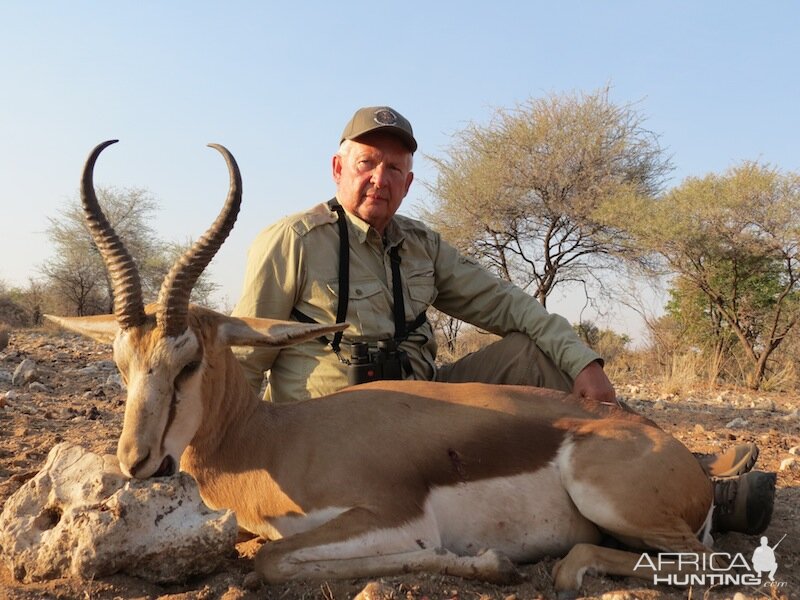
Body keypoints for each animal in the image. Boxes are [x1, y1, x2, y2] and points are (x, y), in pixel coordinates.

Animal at [47, 139, 716, 592]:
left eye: (189, 362)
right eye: (120, 362)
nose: (136, 462)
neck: (270, 441)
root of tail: (682, 459)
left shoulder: (393, 519)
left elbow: (272, 560)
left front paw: (488, 563)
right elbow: (271, 554)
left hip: (616, 506)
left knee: (690, 561)